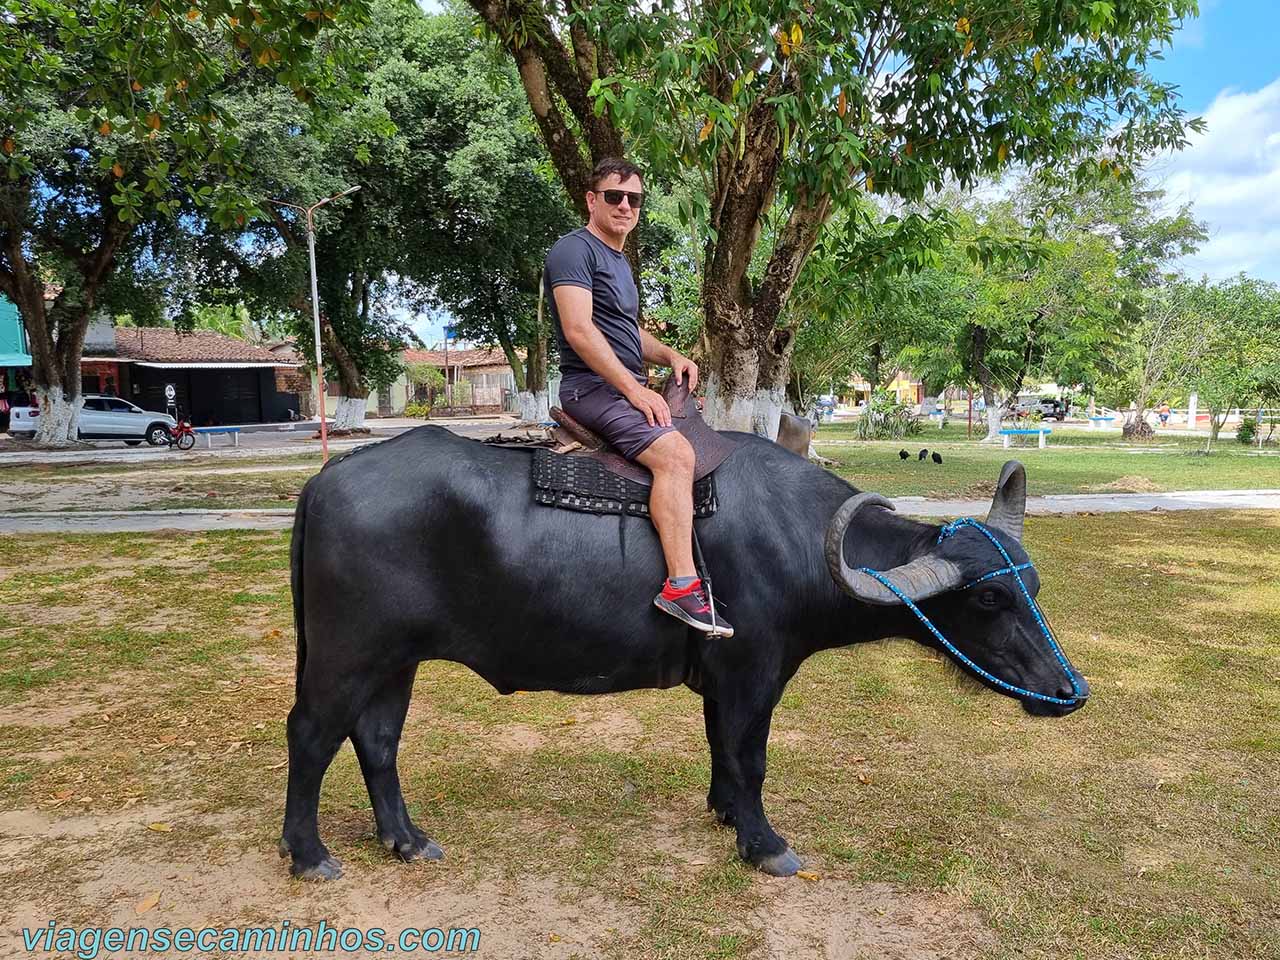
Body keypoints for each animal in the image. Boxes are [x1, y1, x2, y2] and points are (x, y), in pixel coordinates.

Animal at [282, 427, 1090, 880]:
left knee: (377, 740)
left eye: (1034, 584)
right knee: (313, 736)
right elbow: (750, 754)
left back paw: (407, 840)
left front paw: (727, 814)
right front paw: (765, 843)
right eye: (990, 600)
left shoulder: (721, 680)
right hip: (347, 654)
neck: (798, 541)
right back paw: (310, 854)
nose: (1068, 690)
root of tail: (324, 480)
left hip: (397, 660)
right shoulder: (753, 673)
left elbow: (720, 750)